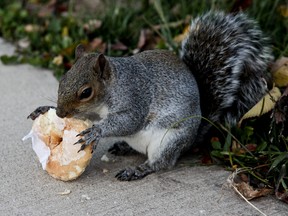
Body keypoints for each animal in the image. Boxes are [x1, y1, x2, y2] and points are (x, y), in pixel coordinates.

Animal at [28, 11, 274, 181]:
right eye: (63, 79)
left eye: (86, 92)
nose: (61, 113)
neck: (113, 87)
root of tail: (192, 138)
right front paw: (43, 109)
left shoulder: (135, 98)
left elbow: (129, 121)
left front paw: (96, 132)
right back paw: (123, 147)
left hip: (169, 141)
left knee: (160, 164)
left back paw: (137, 170)